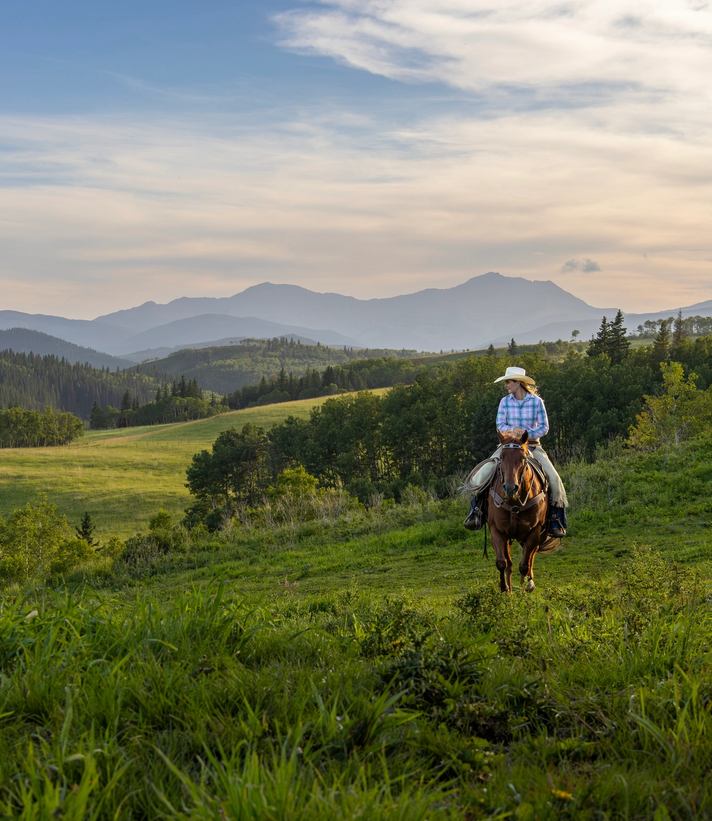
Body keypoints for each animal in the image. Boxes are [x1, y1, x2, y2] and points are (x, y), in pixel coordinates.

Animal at [487, 429, 560, 593]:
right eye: (501, 457)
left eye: (523, 458)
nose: (510, 488)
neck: (514, 502)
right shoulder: (497, 530)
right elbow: (502, 562)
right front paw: (505, 589)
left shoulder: (534, 531)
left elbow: (524, 565)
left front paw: (523, 588)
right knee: (509, 562)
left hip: (538, 534)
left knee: (531, 556)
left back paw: (529, 583)